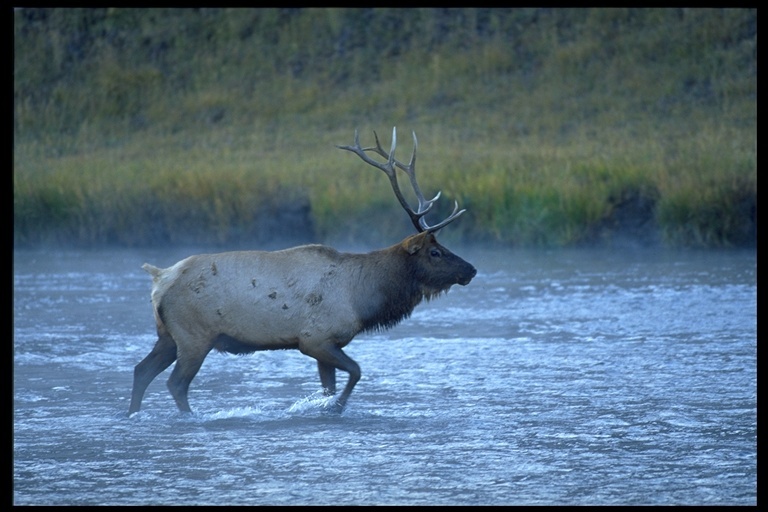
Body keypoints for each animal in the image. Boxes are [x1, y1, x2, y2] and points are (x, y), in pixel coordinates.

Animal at [127, 128, 474, 416]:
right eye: (435, 252)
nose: (470, 269)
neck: (362, 298)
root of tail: (159, 278)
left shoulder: (327, 344)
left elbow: (330, 385)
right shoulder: (315, 339)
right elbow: (355, 373)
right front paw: (334, 408)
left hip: (168, 335)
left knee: (141, 371)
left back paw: (132, 415)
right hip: (194, 336)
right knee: (175, 383)